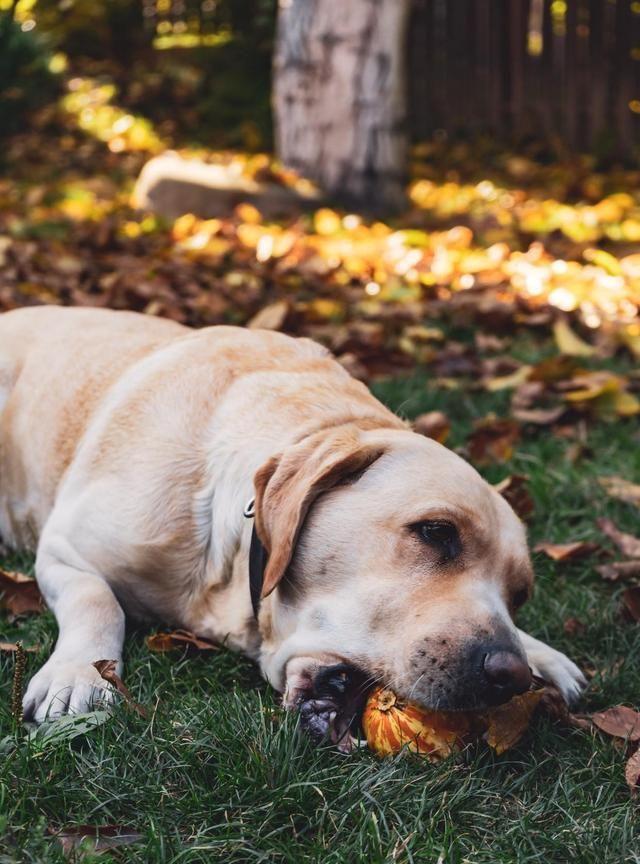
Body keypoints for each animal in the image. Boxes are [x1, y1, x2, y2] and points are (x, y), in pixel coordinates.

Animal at [0, 306, 584, 736]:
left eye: (519, 595)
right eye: (436, 532)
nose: (509, 675)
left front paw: (541, 652)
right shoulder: (64, 549)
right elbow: (96, 599)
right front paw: (79, 672)